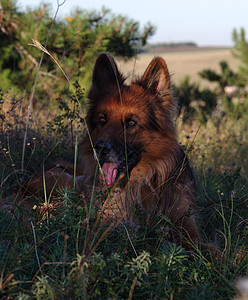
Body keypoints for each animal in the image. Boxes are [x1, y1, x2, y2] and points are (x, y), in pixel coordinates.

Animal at [20, 52, 220, 256]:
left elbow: (212, 250)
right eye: (102, 119)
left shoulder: (187, 228)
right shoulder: (113, 222)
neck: (145, 182)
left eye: (131, 123)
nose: (99, 149)